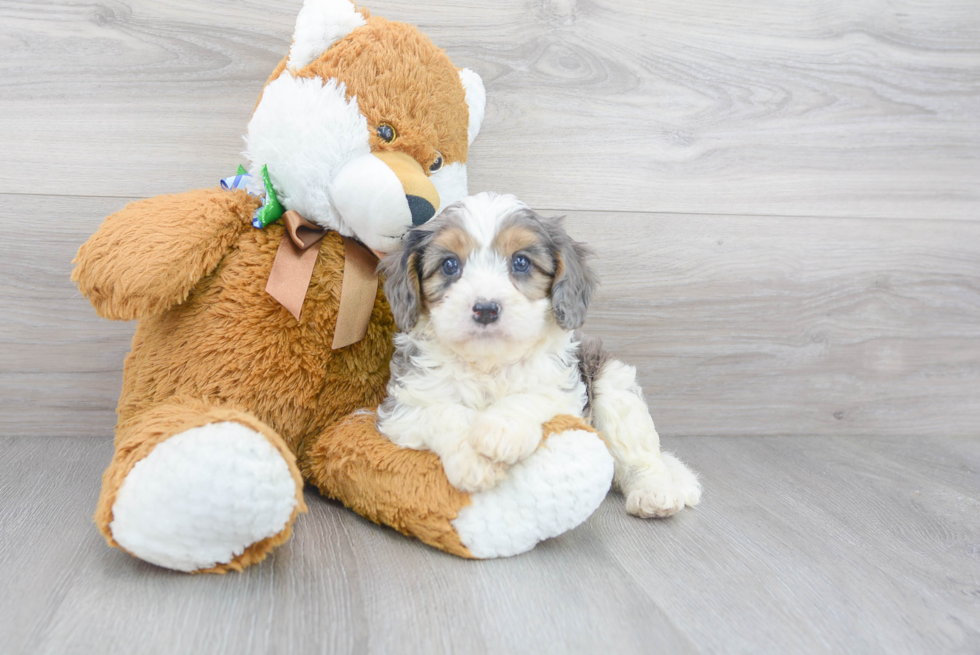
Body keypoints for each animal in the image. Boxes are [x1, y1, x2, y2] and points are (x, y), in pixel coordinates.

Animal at [378, 192, 704, 520]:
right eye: (449, 265)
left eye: (521, 262)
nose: (486, 309)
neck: (489, 364)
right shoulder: (405, 408)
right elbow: (445, 413)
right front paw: (474, 460)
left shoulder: (564, 390)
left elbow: (530, 396)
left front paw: (501, 430)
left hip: (615, 388)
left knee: (640, 458)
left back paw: (654, 493)